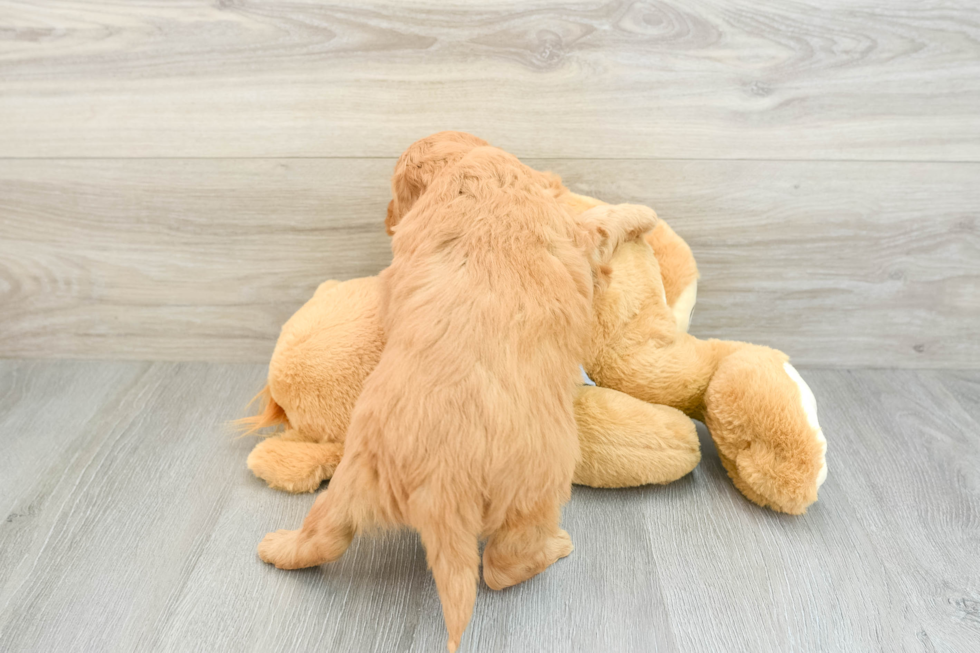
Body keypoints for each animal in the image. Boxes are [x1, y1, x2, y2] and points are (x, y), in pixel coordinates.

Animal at [258, 145, 660, 648]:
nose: (385, 219)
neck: (475, 177)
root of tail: (441, 479)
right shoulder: (578, 235)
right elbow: (604, 218)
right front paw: (644, 214)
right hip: (535, 491)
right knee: (502, 566)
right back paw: (553, 549)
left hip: (350, 482)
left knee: (324, 535)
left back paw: (277, 548)